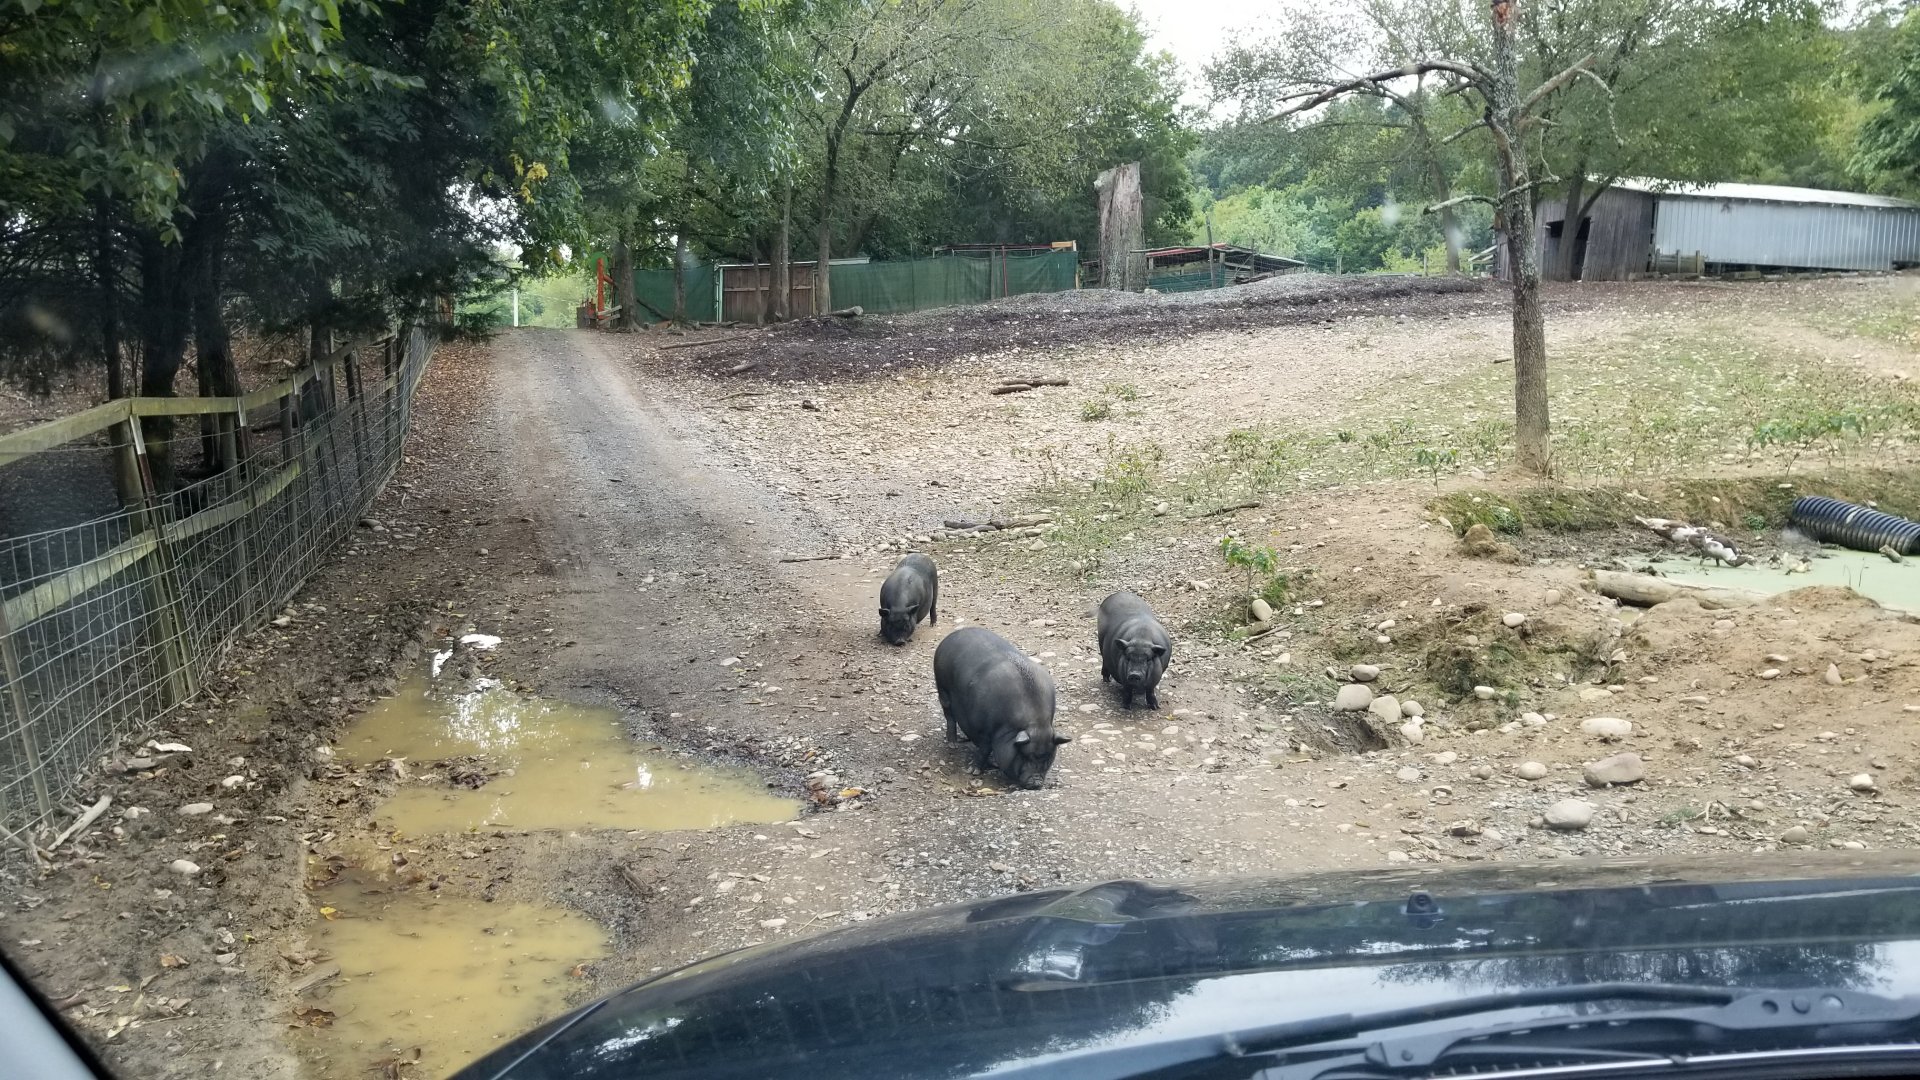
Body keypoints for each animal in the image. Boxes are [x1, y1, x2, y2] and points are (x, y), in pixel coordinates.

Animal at [932, 627, 1070, 789]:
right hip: (942, 689)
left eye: (1048, 758)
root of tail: (952, 635)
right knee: (949, 716)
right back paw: (953, 744)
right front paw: (973, 771)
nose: (1036, 782)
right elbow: (984, 750)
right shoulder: (982, 731)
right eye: (1024, 756)